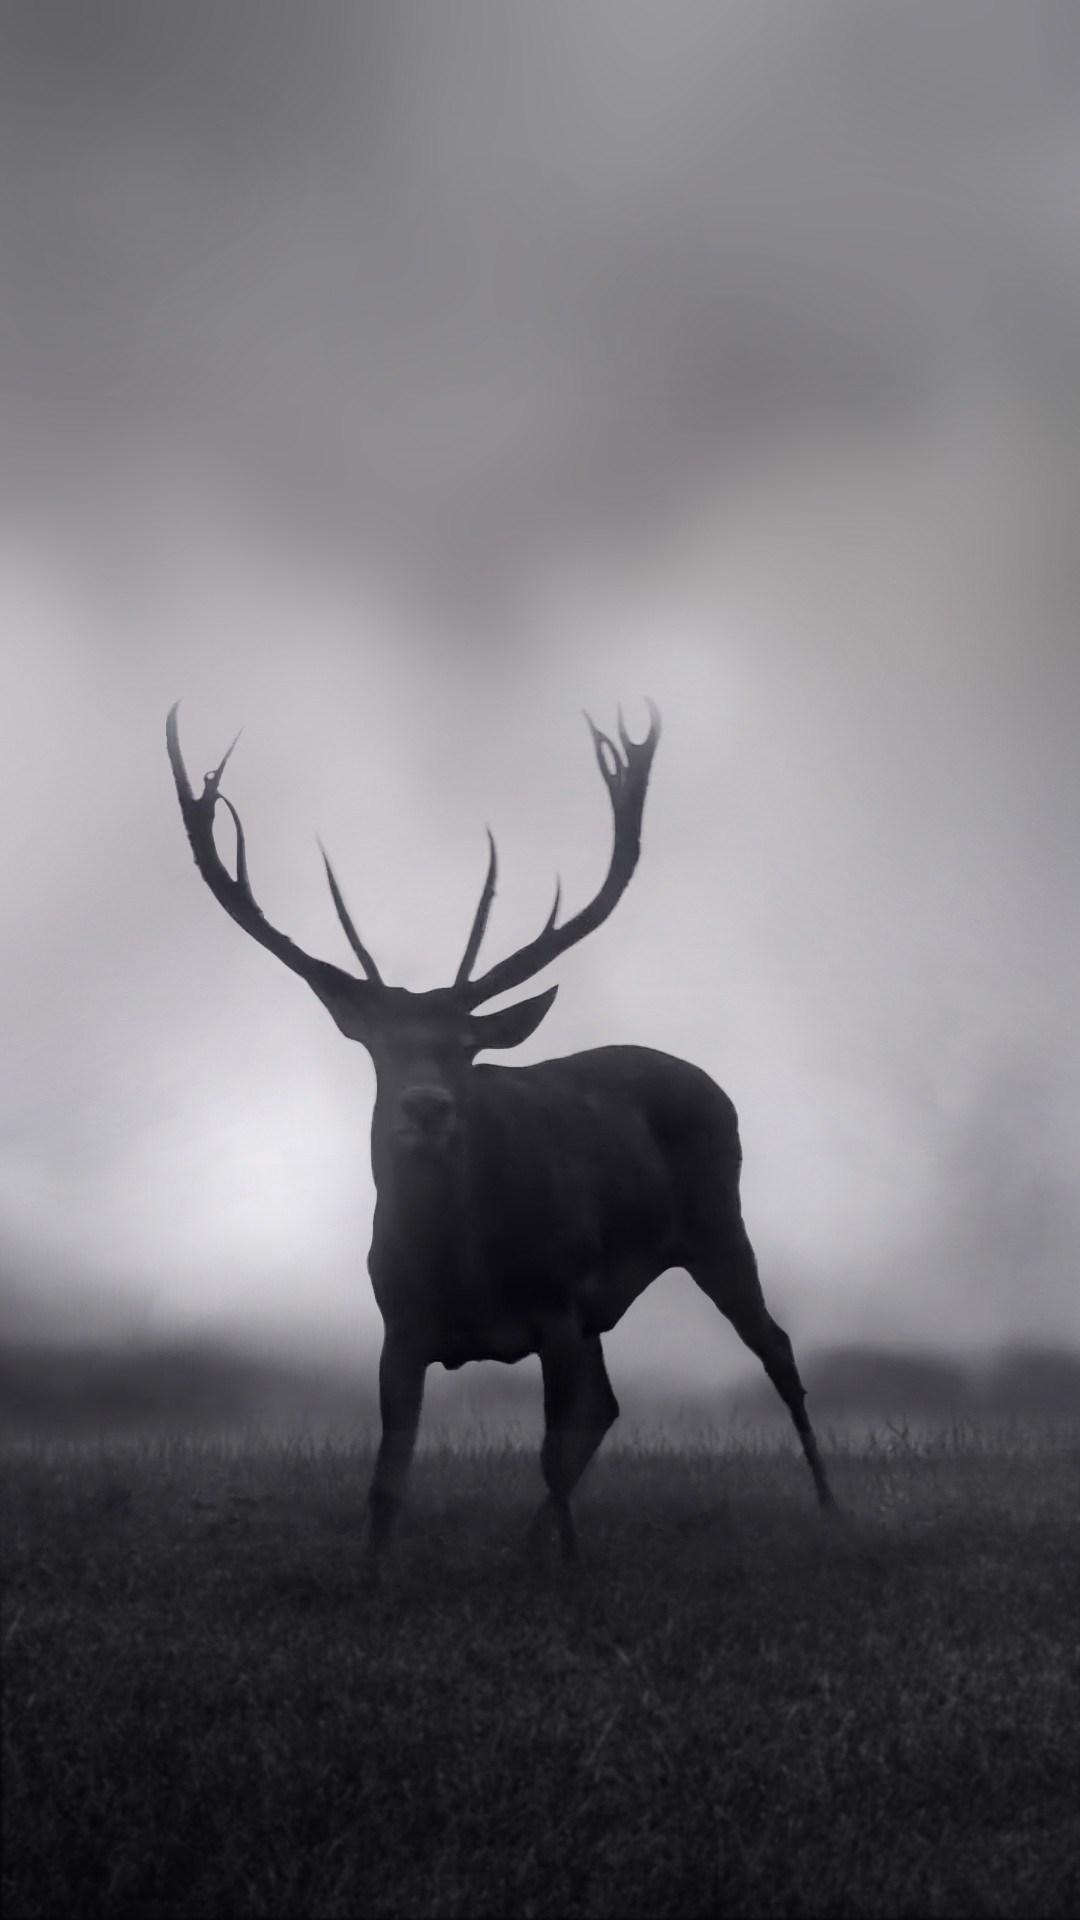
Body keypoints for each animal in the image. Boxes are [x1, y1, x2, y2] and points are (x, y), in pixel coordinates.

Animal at [166, 700, 835, 1561]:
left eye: (465, 1046)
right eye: (380, 1048)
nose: (425, 1106)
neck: (459, 1264)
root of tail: (711, 1083)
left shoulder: (555, 1302)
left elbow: (551, 1452)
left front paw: (571, 1569)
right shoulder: (399, 1325)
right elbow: (387, 1481)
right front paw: (372, 1573)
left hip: (716, 1222)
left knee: (773, 1350)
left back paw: (831, 1509)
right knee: (610, 1404)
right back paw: (522, 1543)